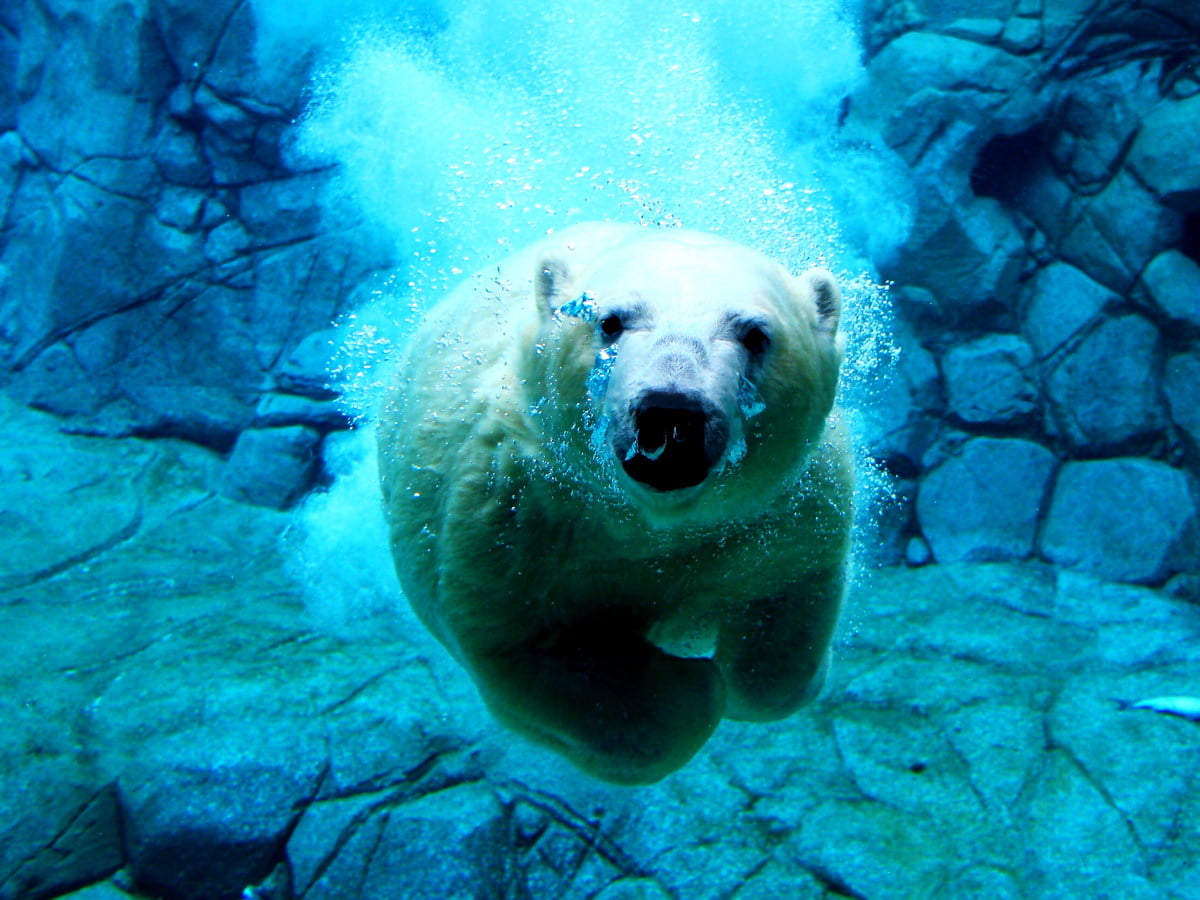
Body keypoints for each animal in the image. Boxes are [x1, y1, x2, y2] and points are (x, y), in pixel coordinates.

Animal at [378, 222, 852, 785]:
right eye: (609, 321)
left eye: (755, 334)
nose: (671, 411)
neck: (647, 521)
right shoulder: (512, 514)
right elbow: (532, 649)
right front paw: (691, 686)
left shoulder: (782, 510)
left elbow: (783, 609)